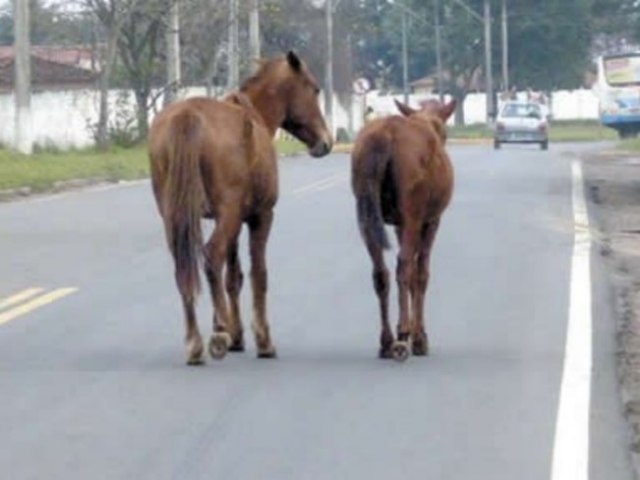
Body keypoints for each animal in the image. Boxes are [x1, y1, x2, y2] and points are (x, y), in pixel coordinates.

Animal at [148, 52, 332, 366]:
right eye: (315, 89)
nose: (325, 141)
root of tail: (187, 117)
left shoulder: (232, 219)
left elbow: (233, 276)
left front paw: (237, 335)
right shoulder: (260, 216)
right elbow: (259, 273)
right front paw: (262, 339)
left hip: (177, 217)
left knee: (184, 267)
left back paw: (195, 342)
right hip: (230, 215)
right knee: (211, 256)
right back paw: (219, 333)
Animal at [350, 98, 460, 360]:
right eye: (445, 132)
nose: (444, 138)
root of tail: (383, 137)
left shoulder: (399, 224)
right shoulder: (430, 219)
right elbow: (421, 273)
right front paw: (420, 338)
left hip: (366, 211)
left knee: (380, 271)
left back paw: (386, 341)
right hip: (412, 211)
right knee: (403, 265)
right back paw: (402, 334)